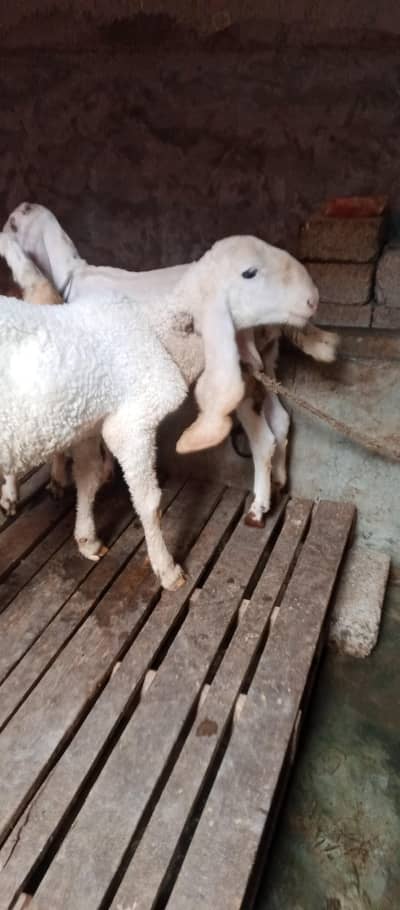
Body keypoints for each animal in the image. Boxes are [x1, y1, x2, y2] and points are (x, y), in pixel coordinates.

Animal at [0, 234, 318, 589]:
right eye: (249, 272)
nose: (313, 299)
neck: (160, 331)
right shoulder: (131, 425)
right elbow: (149, 502)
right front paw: (167, 570)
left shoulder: (87, 423)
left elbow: (87, 478)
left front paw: (87, 540)